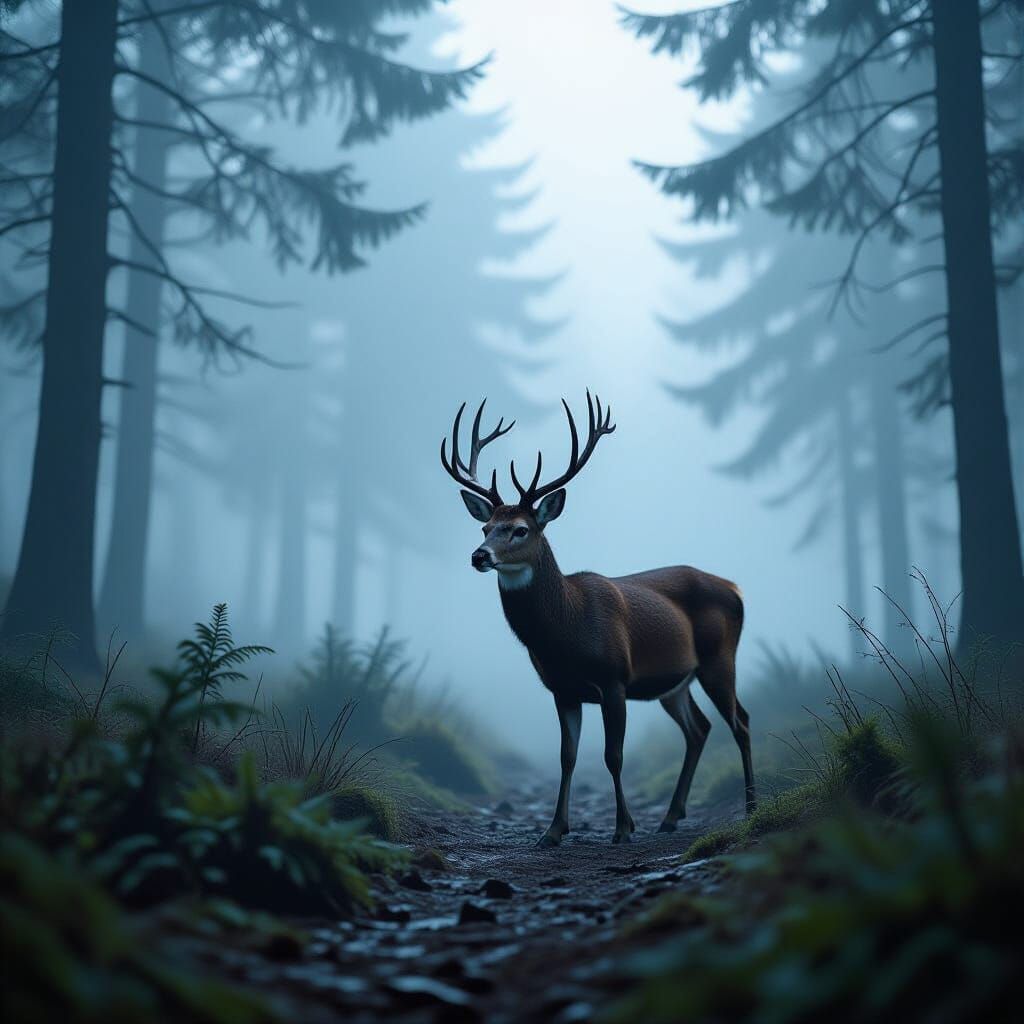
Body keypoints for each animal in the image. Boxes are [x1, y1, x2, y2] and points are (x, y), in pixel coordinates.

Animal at [441, 393, 755, 846]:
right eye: (486, 527)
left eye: (519, 529)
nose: (479, 555)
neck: (565, 632)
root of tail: (735, 588)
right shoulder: (562, 689)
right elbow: (567, 757)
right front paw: (553, 831)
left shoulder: (614, 678)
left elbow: (613, 754)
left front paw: (623, 828)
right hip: (675, 682)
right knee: (698, 728)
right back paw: (670, 817)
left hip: (719, 658)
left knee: (740, 721)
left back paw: (751, 807)